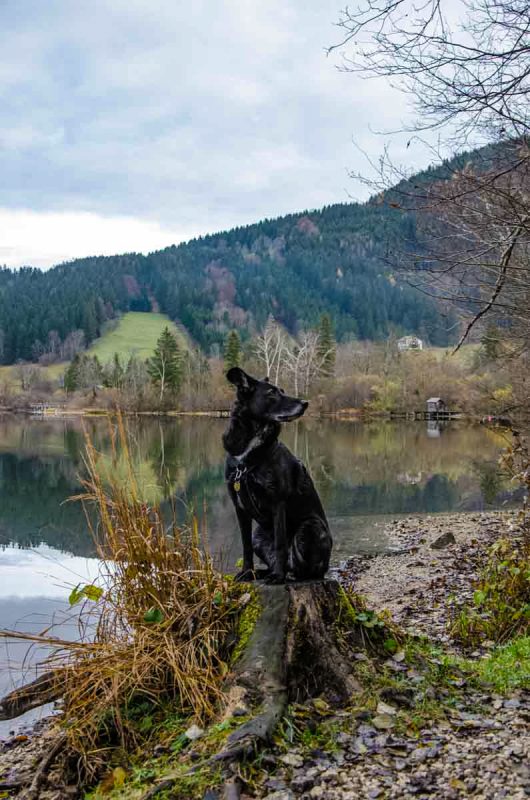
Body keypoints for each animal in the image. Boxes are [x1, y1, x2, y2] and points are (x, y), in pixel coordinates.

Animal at [222, 368, 330, 580]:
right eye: (271, 393)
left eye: (282, 391)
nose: (305, 403)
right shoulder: (239, 508)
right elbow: (245, 546)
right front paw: (247, 572)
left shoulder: (277, 501)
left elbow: (280, 543)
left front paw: (278, 576)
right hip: (259, 535)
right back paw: (265, 572)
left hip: (309, 529)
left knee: (303, 568)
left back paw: (287, 574)